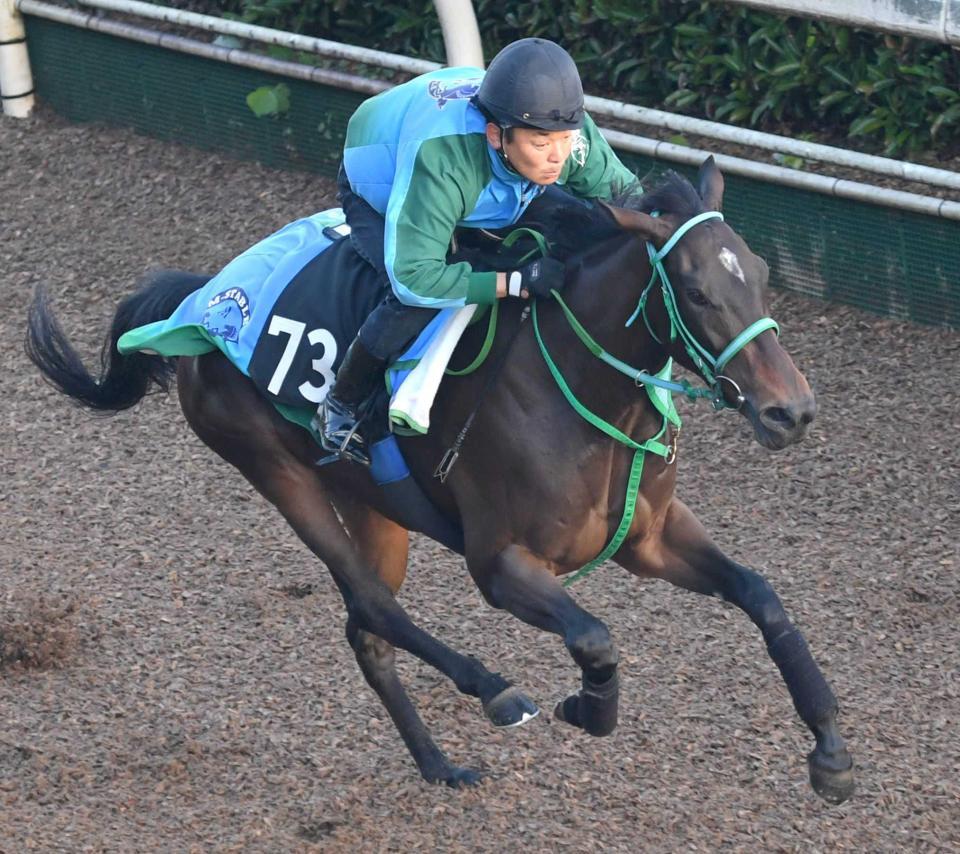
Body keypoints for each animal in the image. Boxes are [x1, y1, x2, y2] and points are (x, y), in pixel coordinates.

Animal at [26, 157, 855, 803]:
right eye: (697, 290)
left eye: (762, 277)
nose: (791, 411)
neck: (576, 385)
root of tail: (206, 298)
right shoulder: (500, 563)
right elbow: (595, 636)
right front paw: (590, 708)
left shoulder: (649, 538)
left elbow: (762, 596)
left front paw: (831, 753)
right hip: (275, 469)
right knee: (371, 604)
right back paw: (496, 692)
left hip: (374, 503)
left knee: (366, 630)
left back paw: (437, 764)